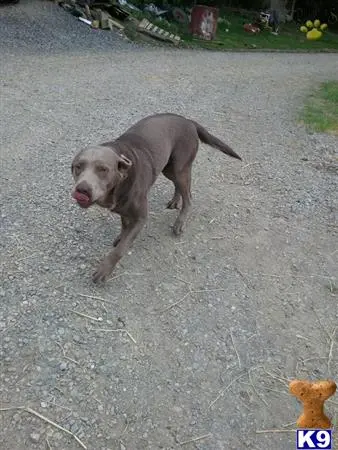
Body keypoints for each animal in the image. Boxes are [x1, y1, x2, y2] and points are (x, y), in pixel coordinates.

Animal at [71, 112, 242, 282]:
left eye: (103, 169)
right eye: (78, 167)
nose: (82, 189)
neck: (118, 184)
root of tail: (188, 121)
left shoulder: (141, 217)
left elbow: (120, 250)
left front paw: (105, 269)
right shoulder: (123, 210)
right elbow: (124, 228)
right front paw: (121, 236)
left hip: (180, 168)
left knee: (189, 197)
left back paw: (179, 222)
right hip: (168, 168)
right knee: (179, 187)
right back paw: (175, 201)